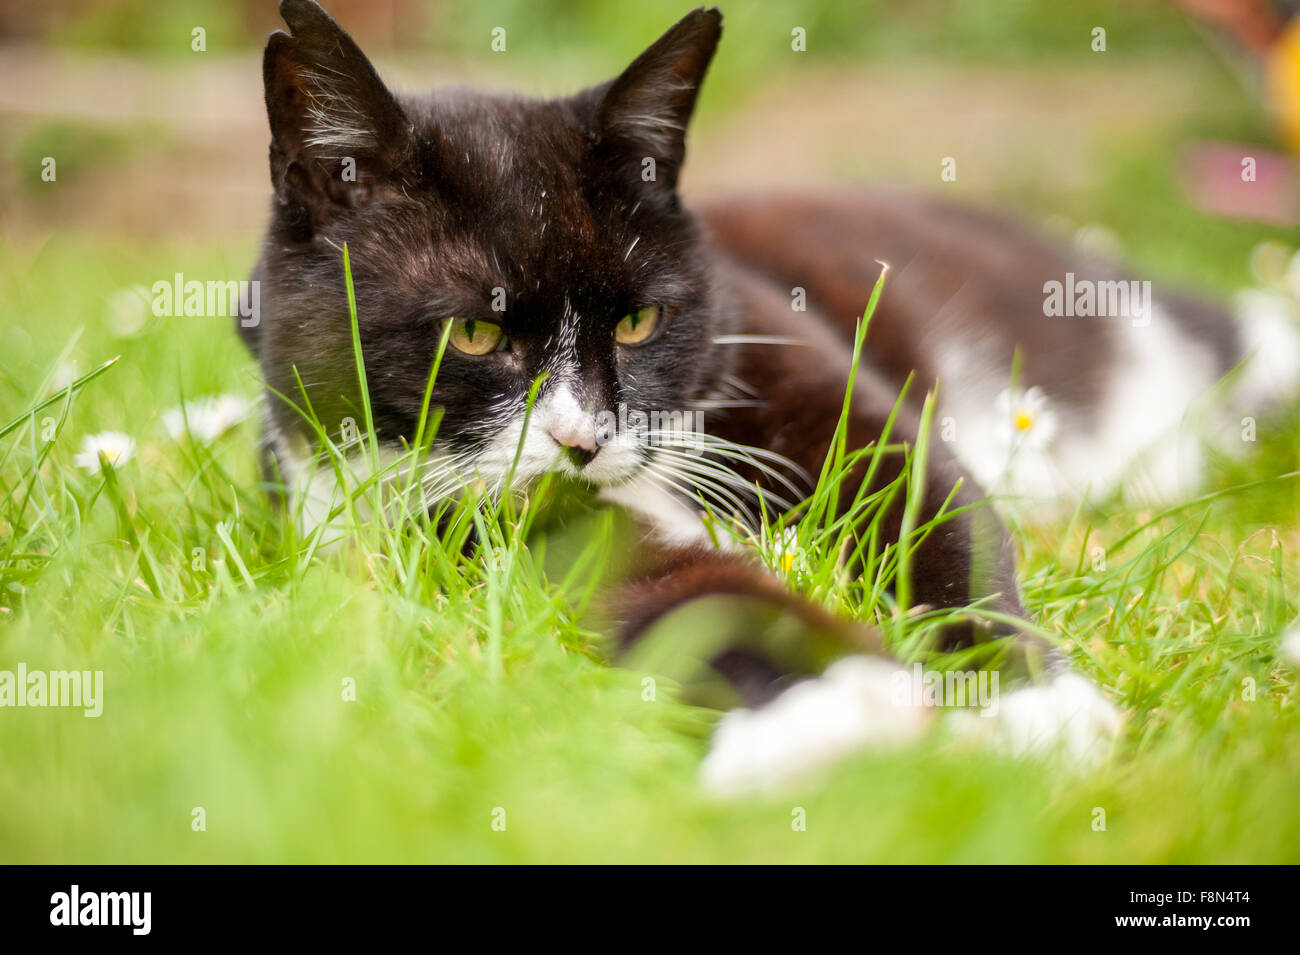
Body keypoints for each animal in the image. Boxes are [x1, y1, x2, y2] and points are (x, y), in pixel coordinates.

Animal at [239, 3, 1294, 795]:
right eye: (475, 335)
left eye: (641, 321)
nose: (585, 439)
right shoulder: (440, 523)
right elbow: (674, 594)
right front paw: (826, 713)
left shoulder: (810, 379)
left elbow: (936, 514)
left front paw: (1026, 701)